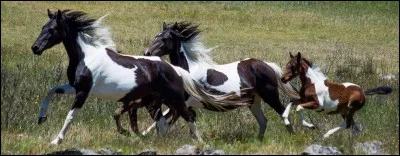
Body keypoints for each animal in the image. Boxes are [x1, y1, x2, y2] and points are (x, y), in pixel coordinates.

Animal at [30, 9, 244, 144]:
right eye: (42, 27)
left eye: (52, 29)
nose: (35, 48)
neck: (87, 55)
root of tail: (175, 69)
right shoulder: (75, 86)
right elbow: (51, 91)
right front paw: (41, 118)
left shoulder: (83, 92)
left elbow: (70, 116)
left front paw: (56, 141)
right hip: (154, 101)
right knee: (162, 123)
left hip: (173, 98)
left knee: (187, 116)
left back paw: (199, 142)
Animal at [141, 21, 306, 139]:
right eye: (156, 35)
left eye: (165, 38)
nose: (147, 52)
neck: (188, 72)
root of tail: (266, 65)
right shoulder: (182, 104)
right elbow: (165, 121)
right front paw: (145, 134)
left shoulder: (184, 103)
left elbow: (168, 121)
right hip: (254, 101)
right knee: (263, 121)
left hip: (270, 95)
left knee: (282, 112)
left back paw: (293, 136)